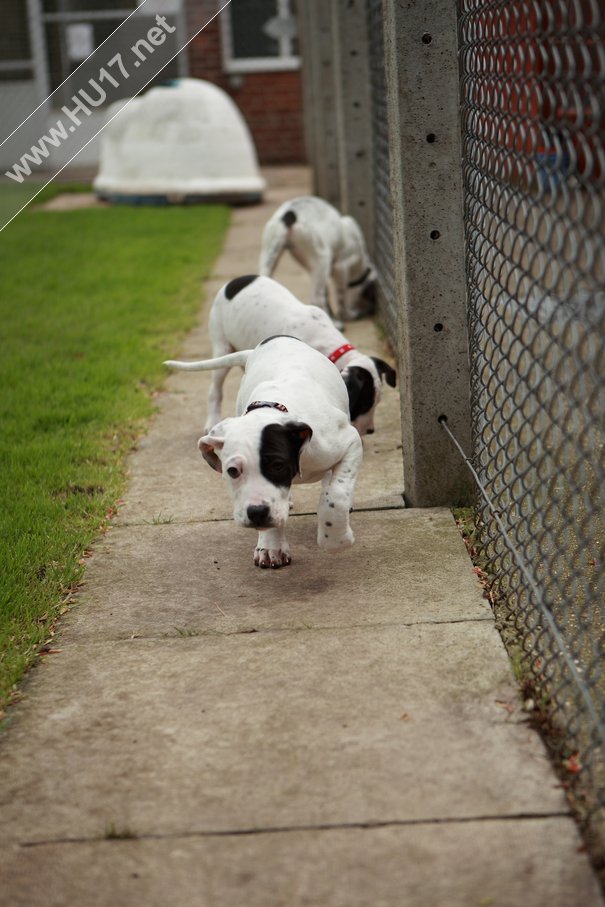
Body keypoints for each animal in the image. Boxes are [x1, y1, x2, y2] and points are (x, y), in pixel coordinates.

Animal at [163, 336, 360, 572]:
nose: (257, 513)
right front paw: (271, 546)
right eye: (232, 471)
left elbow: (335, 496)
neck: (273, 407)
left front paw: (336, 540)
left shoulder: (349, 441)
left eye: (278, 466)